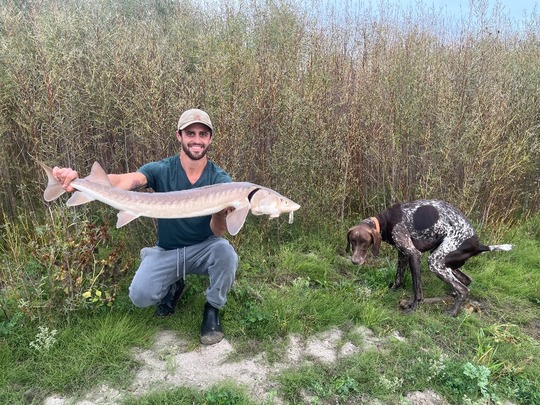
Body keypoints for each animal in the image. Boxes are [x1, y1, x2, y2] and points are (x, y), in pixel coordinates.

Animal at [346, 199, 510, 316]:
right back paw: (453, 295)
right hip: (444, 261)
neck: (386, 220)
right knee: (466, 280)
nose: (355, 261)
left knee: (463, 289)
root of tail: (478, 244)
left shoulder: (414, 255)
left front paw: (414, 307)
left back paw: (452, 312)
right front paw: (392, 290)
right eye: (352, 241)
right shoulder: (403, 254)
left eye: (365, 242)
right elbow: (398, 278)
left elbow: (417, 289)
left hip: (435, 262)